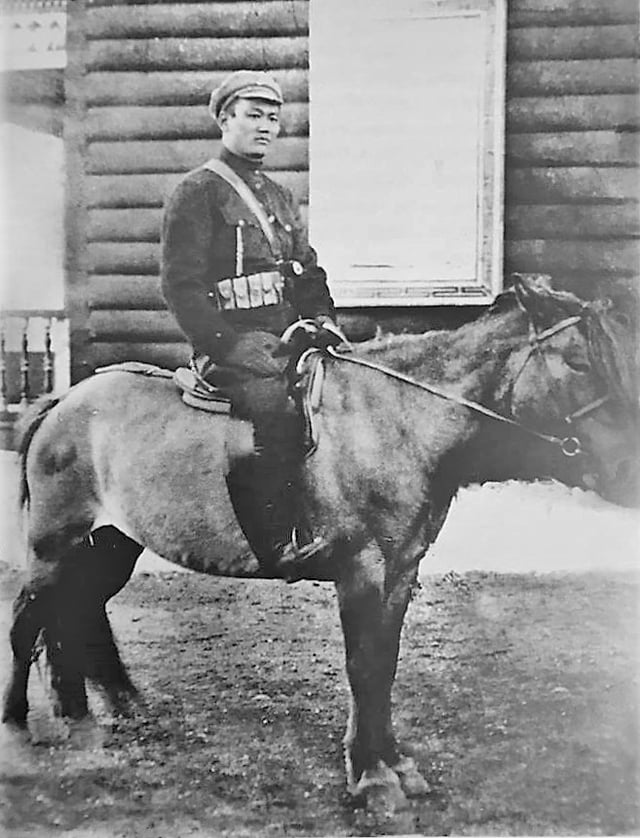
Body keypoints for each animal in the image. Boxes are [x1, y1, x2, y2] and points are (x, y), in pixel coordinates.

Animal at [2, 276, 636, 812]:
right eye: (579, 361)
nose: (624, 470)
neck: (396, 421)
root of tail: (63, 402)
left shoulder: (400, 572)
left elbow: (383, 665)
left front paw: (391, 764)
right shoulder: (362, 571)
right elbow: (363, 666)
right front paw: (372, 778)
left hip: (110, 545)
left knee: (76, 609)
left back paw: (97, 711)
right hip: (56, 545)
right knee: (30, 618)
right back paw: (19, 723)